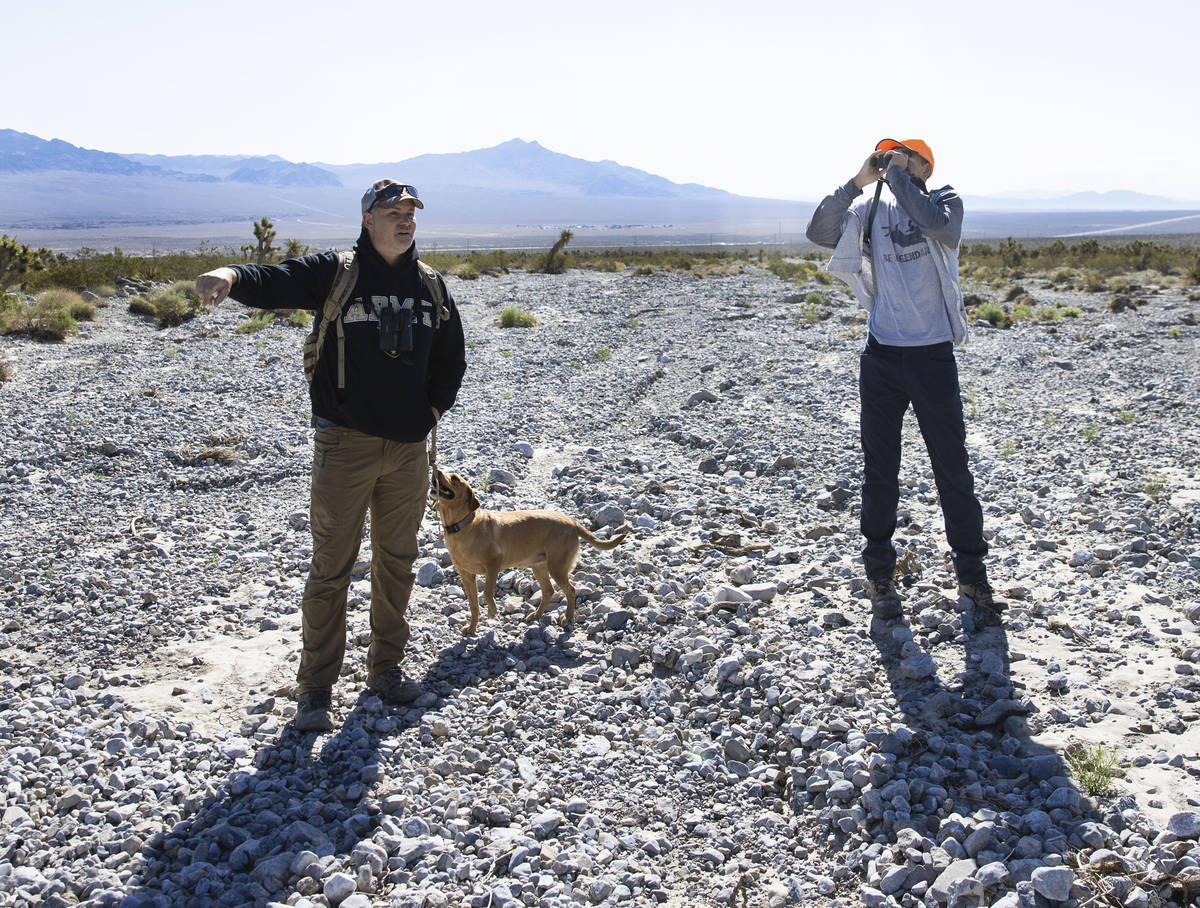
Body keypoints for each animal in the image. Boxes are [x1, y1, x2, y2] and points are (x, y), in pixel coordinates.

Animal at [439, 470, 628, 633]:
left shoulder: (493, 564)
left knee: (571, 590)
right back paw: (536, 614)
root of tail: (573, 522)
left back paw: (568, 617)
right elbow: (473, 605)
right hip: (540, 567)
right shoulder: (466, 575)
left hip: (557, 567)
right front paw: (471, 628)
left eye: (454, 478)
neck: (463, 525)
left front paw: (492, 611)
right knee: (549, 591)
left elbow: (486, 591)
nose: (437, 471)